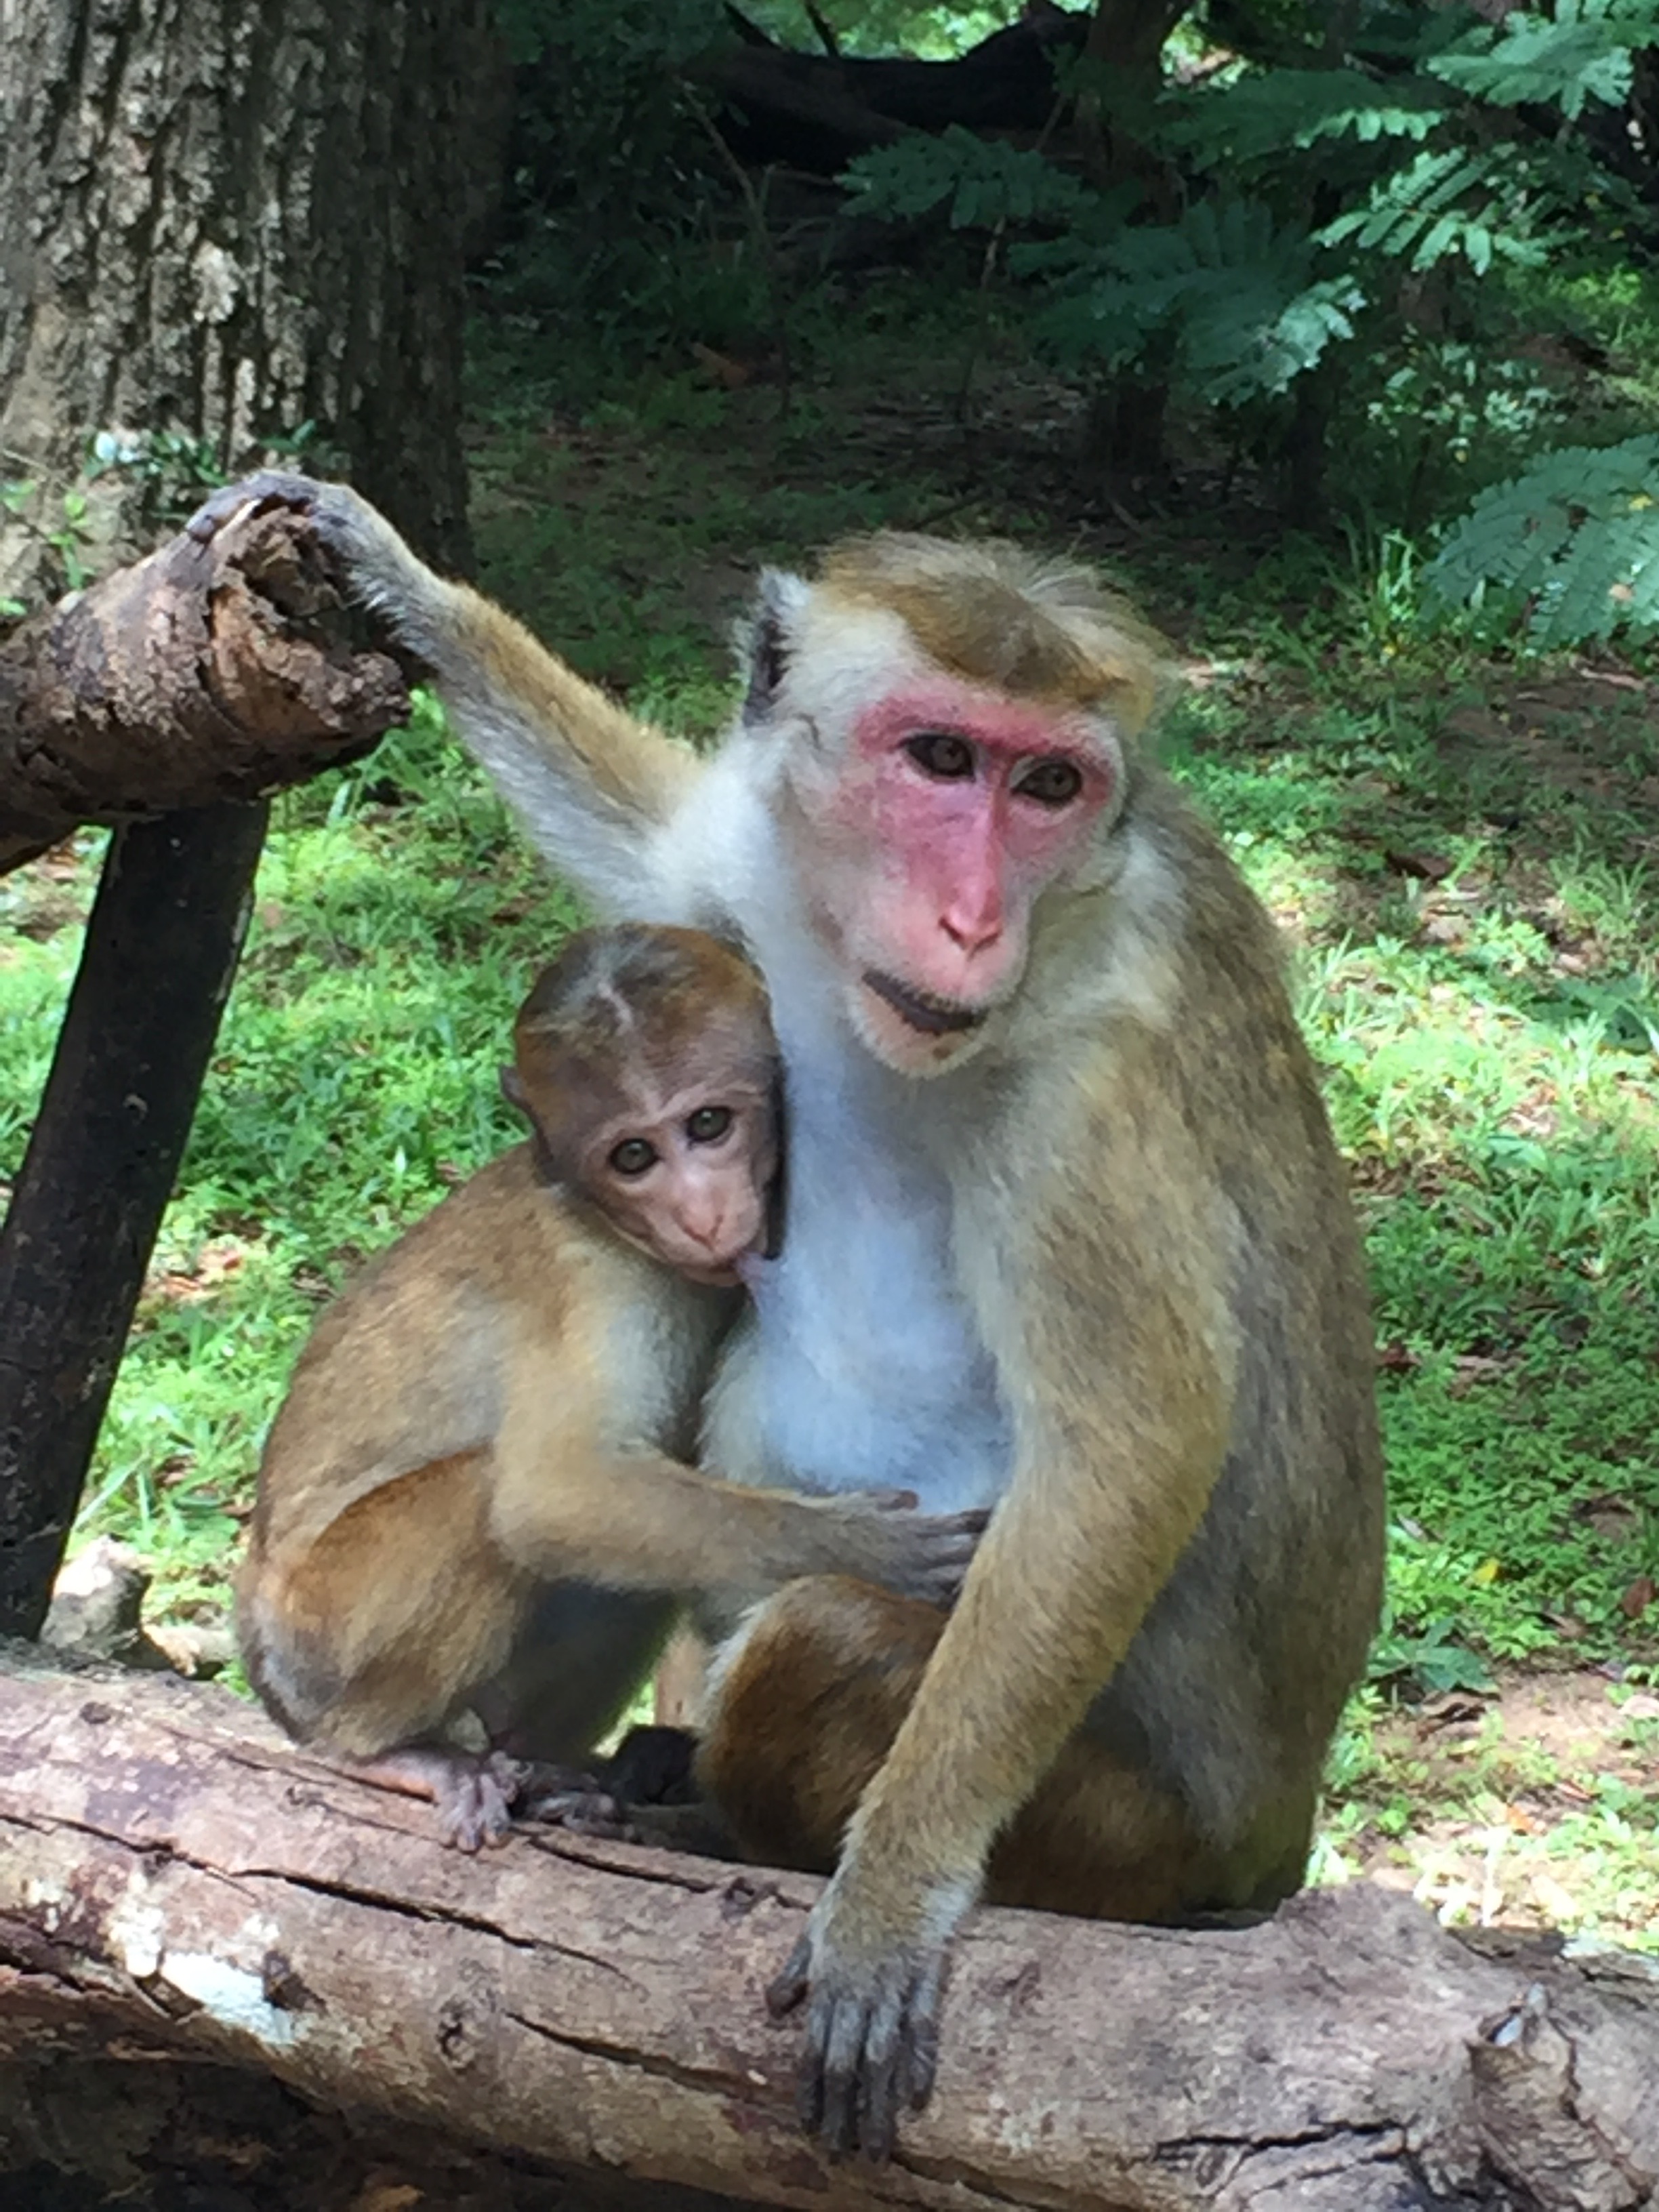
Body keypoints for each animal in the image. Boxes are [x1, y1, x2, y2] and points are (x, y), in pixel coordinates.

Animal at [235, 921, 985, 1851]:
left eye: (709, 1124)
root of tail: (254, 1635)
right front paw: (865, 1548)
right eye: (634, 1156)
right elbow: (554, 1491)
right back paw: (380, 1752)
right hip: (320, 1637)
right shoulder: (596, 1282)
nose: (701, 1214)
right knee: (487, 1496)